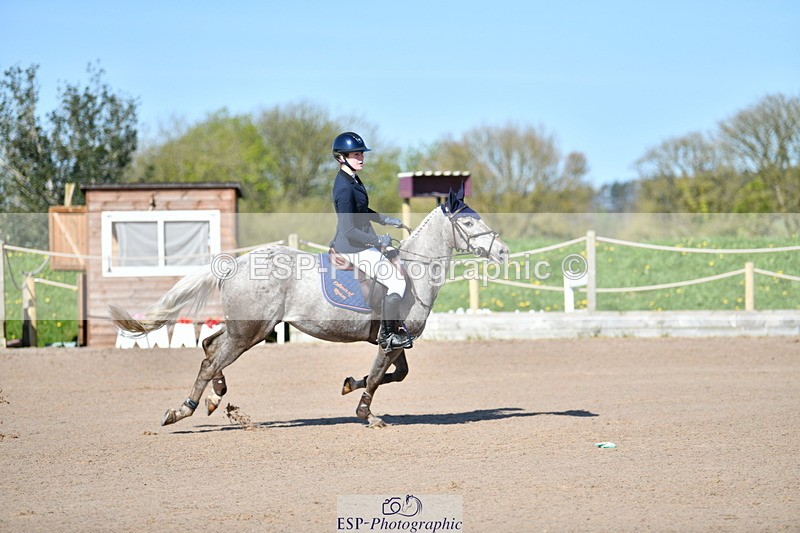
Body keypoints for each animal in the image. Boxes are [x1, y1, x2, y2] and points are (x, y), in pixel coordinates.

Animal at [110, 188, 509, 428]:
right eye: (468, 222)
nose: (503, 252)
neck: (414, 271)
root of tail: (236, 263)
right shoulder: (390, 341)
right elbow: (378, 376)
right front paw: (367, 414)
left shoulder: (395, 340)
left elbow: (395, 374)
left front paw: (349, 384)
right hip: (250, 332)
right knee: (211, 359)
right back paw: (184, 409)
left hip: (247, 327)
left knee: (210, 346)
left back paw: (215, 398)